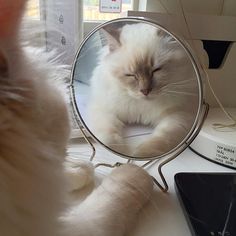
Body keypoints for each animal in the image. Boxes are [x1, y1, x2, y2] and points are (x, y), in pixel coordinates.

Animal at [87, 22, 198, 157]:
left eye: (156, 70)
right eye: (130, 75)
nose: (145, 91)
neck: (142, 106)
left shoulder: (178, 116)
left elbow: (159, 140)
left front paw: (137, 156)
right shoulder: (104, 109)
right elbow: (109, 137)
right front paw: (121, 151)